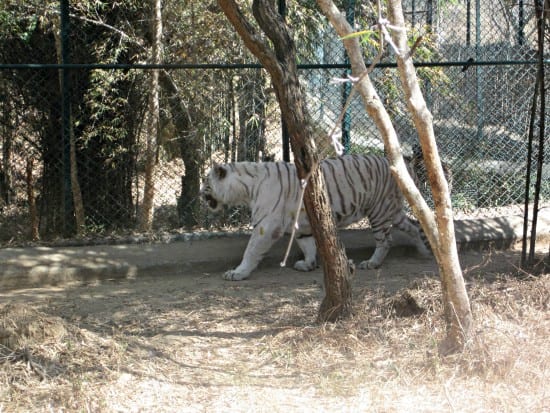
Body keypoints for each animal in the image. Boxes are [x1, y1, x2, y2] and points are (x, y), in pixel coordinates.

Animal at [201, 154, 434, 280]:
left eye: (205, 182)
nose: (199, 194)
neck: (246, 188)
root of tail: (406, 165)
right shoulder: (301, 225)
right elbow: (308, 245)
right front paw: (308, 264)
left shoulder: (265, 225)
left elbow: (250, 251)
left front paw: (238, 273)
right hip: (393, 211)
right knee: (413, 227)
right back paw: (423, 251)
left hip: (379, 210)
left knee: (386, 240)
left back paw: (372, 263)